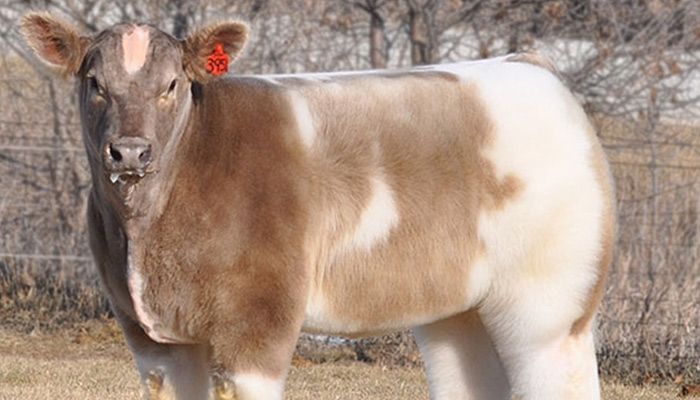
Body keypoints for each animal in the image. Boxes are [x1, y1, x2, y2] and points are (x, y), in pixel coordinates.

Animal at [20, 10, 612, 400]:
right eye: (94, 82)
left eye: (171, 84)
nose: (130, 150)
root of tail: (530, 64)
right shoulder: (150, 337)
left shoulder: (257, 324)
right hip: (459, 308)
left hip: (550, 307)